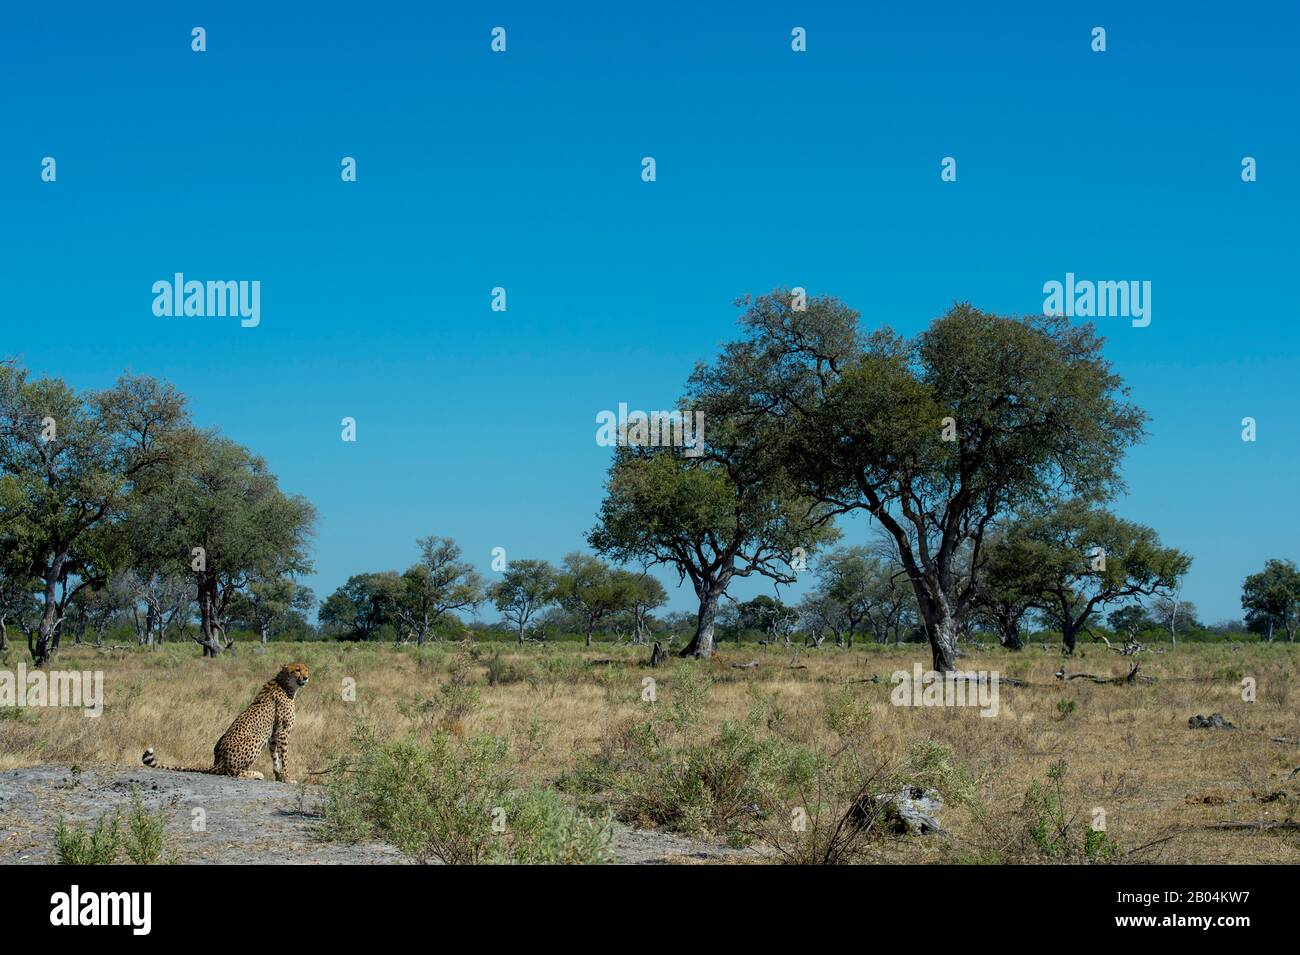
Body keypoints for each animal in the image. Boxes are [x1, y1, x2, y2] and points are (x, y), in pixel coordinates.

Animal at [142, 663, 310, 782]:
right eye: (297, 670)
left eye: (307, 670)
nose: (306, 677)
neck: (285, 684)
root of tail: (218, 761)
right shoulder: (282, 731)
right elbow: (284, 757)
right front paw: (287, 778)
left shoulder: (274, 734)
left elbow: (275, 757)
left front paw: (279, 777)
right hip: (256, 738)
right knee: (232, 772)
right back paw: (254, 773)